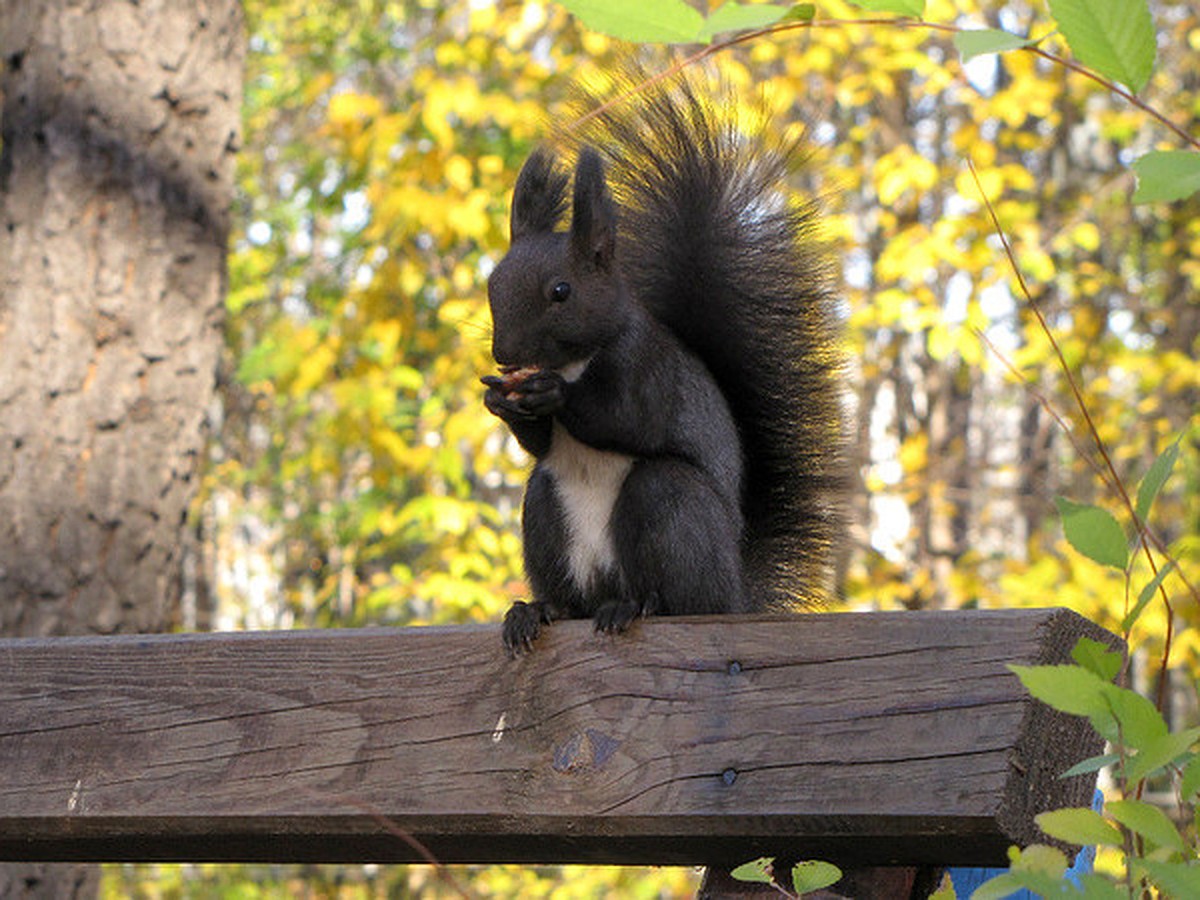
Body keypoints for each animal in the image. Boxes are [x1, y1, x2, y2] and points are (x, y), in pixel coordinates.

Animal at [482, 65, 849, 657]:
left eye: (561, 291)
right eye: (492, 283)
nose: (505, 354)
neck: (575, 361)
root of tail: (735, 594)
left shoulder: (648, 369)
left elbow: (629, 420)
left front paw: (551, 396)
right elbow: (537, 444)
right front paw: (502, 401)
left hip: (671, 507)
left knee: (676, 594)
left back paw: (636, 606)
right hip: (544, 516)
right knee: (569, 594)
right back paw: (538, 610)